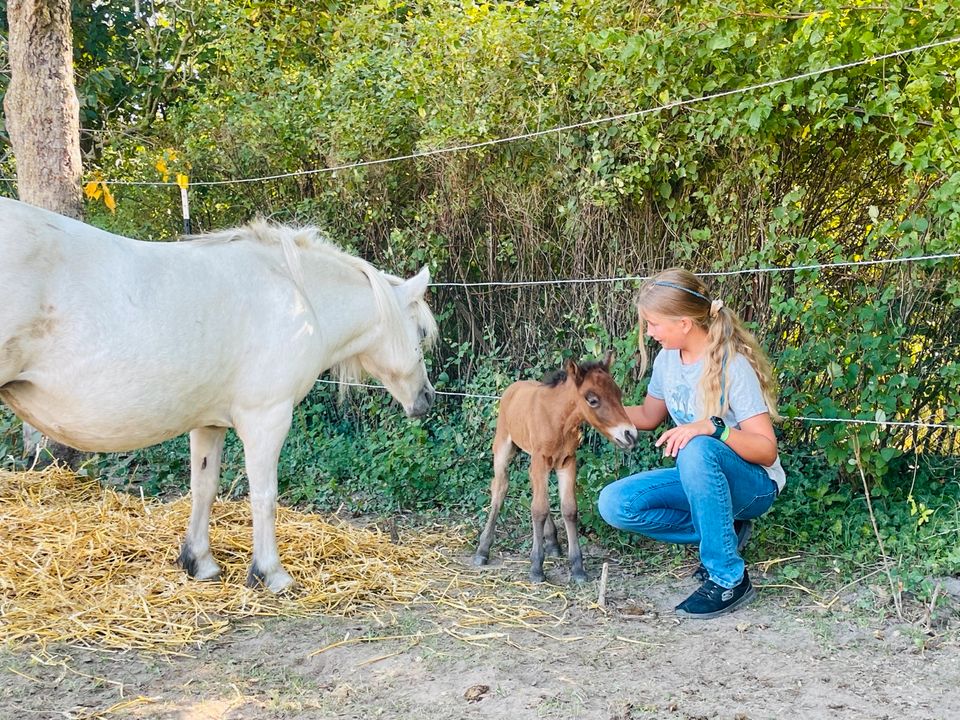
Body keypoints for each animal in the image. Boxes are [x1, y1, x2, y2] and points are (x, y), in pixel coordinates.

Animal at [0, 197, 436, 592]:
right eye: (420, 333)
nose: (427, 398)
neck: (297, 299)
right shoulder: (267, 419)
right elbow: (264, 495)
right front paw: (271, 574)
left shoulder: (208, 423)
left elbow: (203, 489)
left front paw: (199, 562)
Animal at [474, 352, 636, 584]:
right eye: (592, 400)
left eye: (618, 394)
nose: (630, 435)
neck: (558, 420)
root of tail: (513, 387)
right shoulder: (541, 460)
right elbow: (538, 509)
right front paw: (536, 568)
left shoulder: (567, 461)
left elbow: (568, 509)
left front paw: (577, 568)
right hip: (504, 446)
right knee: (500, 487)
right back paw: (483, 550)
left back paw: (552, 542)